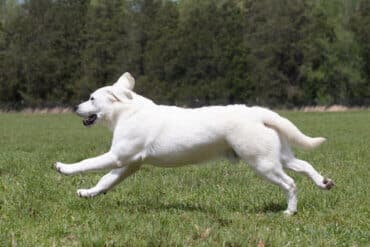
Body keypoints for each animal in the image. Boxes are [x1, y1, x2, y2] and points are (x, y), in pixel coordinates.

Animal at [54, 71, 332, 214]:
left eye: (92, 98)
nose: (74, 107)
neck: (127, 112)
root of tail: (258, 113)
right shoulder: (128, 164)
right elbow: (105, 181)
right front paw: (87, 193)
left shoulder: (118, 157)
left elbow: (87, 163)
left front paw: (64, 168)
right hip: (276, 156)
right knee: (304, 165)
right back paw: (324, 182)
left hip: (262, 163)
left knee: (291, 183)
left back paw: (290, 211)